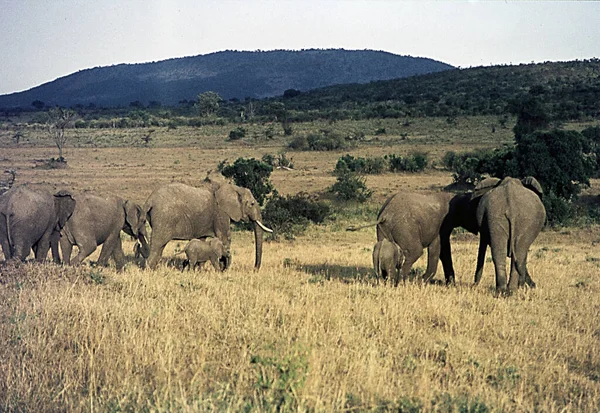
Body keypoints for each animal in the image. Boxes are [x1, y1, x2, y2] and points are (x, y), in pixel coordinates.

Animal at [141, 177, 272, 270]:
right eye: (252, 204)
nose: (255, 269)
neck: (234, 187)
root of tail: (149, 200)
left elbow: (201, 240)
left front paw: (200, 270)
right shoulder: (220, 213)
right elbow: (225, 238)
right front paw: (224, 269)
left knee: (160, 248)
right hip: (164, 218)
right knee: (158, 244)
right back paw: (149, 271)